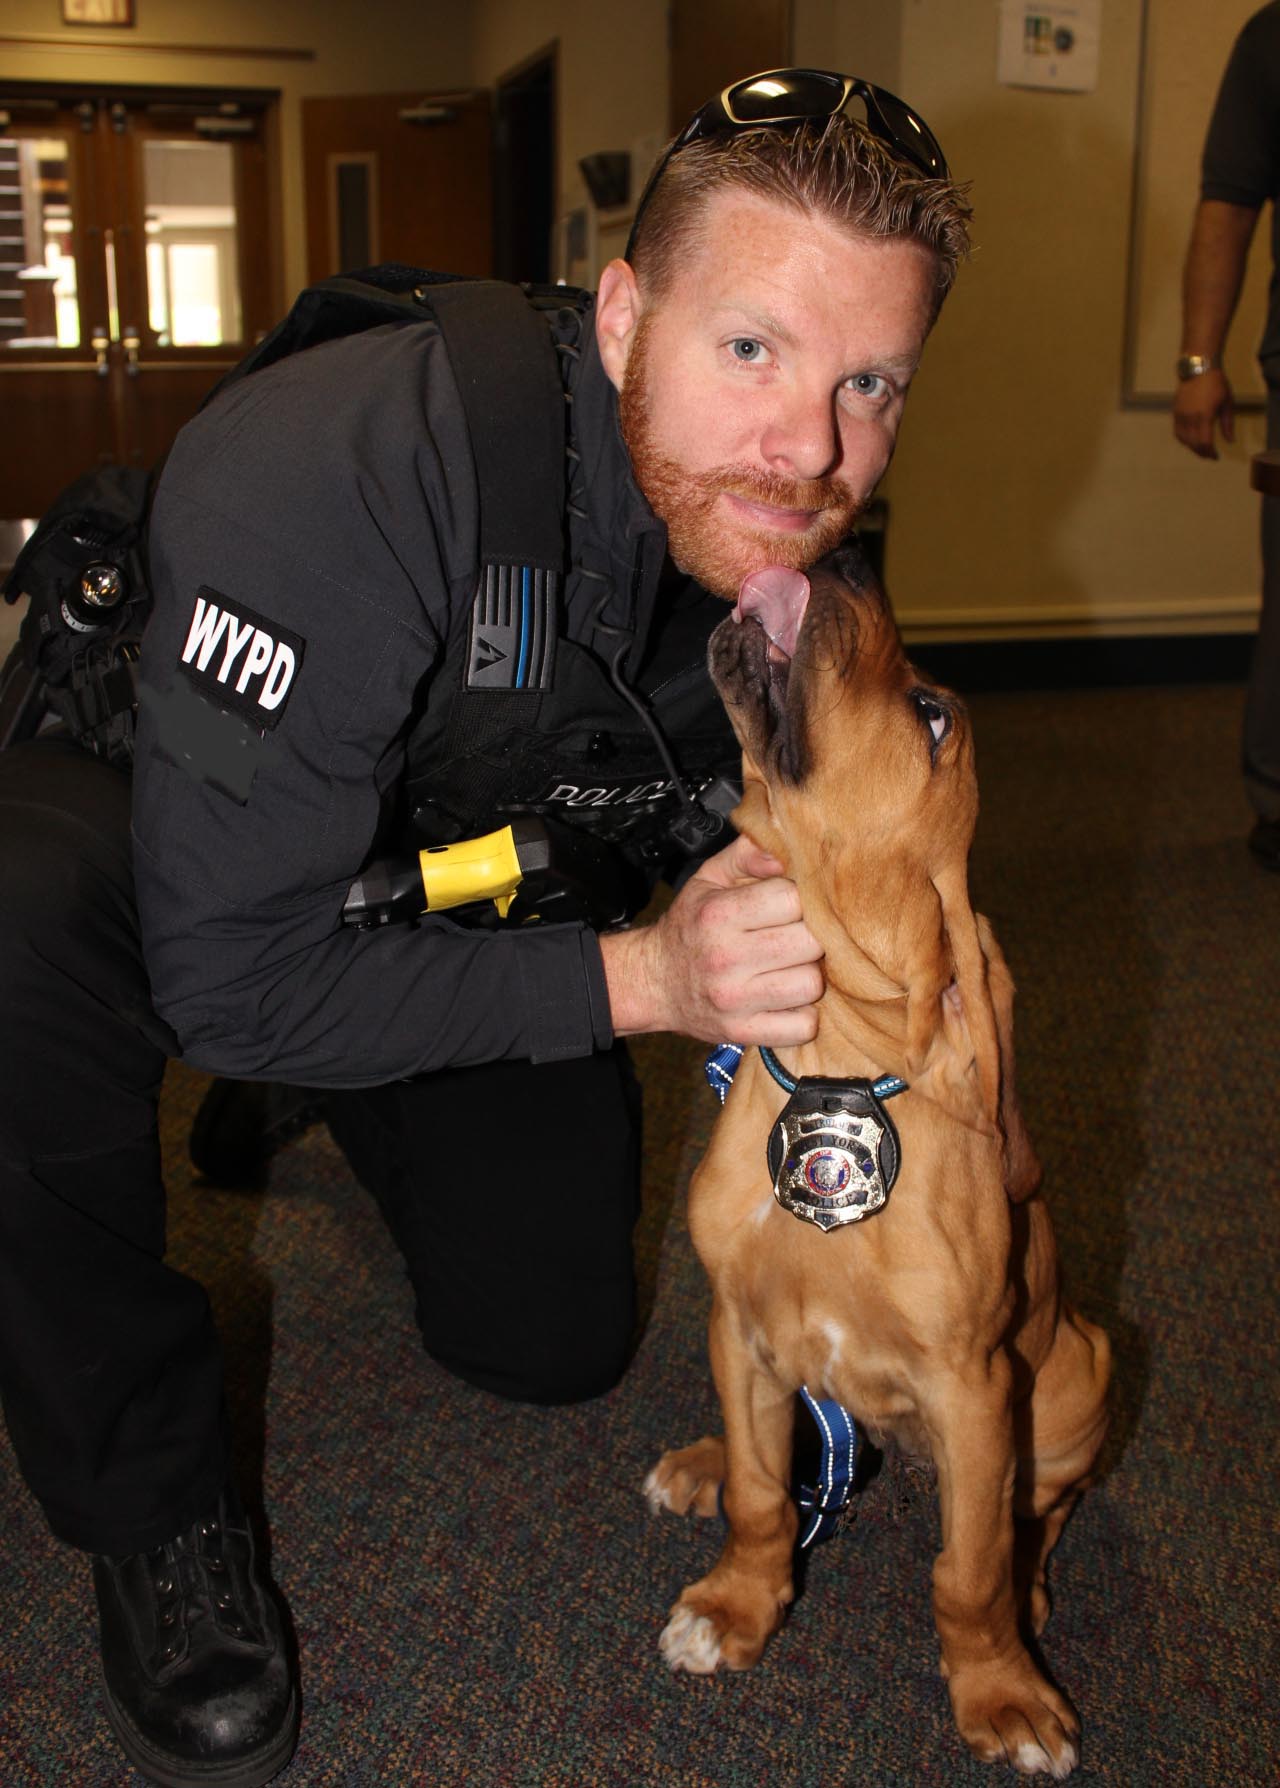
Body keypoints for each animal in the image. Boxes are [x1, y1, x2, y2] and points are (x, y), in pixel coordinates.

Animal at [645, 542, 1110, 1779]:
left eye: (931, 715)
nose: (843, 551)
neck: (831, 1064)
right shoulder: (739, 1328)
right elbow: (767, 1496)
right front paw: (736, 1604)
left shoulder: (975, 1387)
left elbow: (966, 1573)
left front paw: (1001, 1692)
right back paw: (702, 1461)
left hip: (1077, 1377)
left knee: (1035, 1519)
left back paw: (1033, 1597)